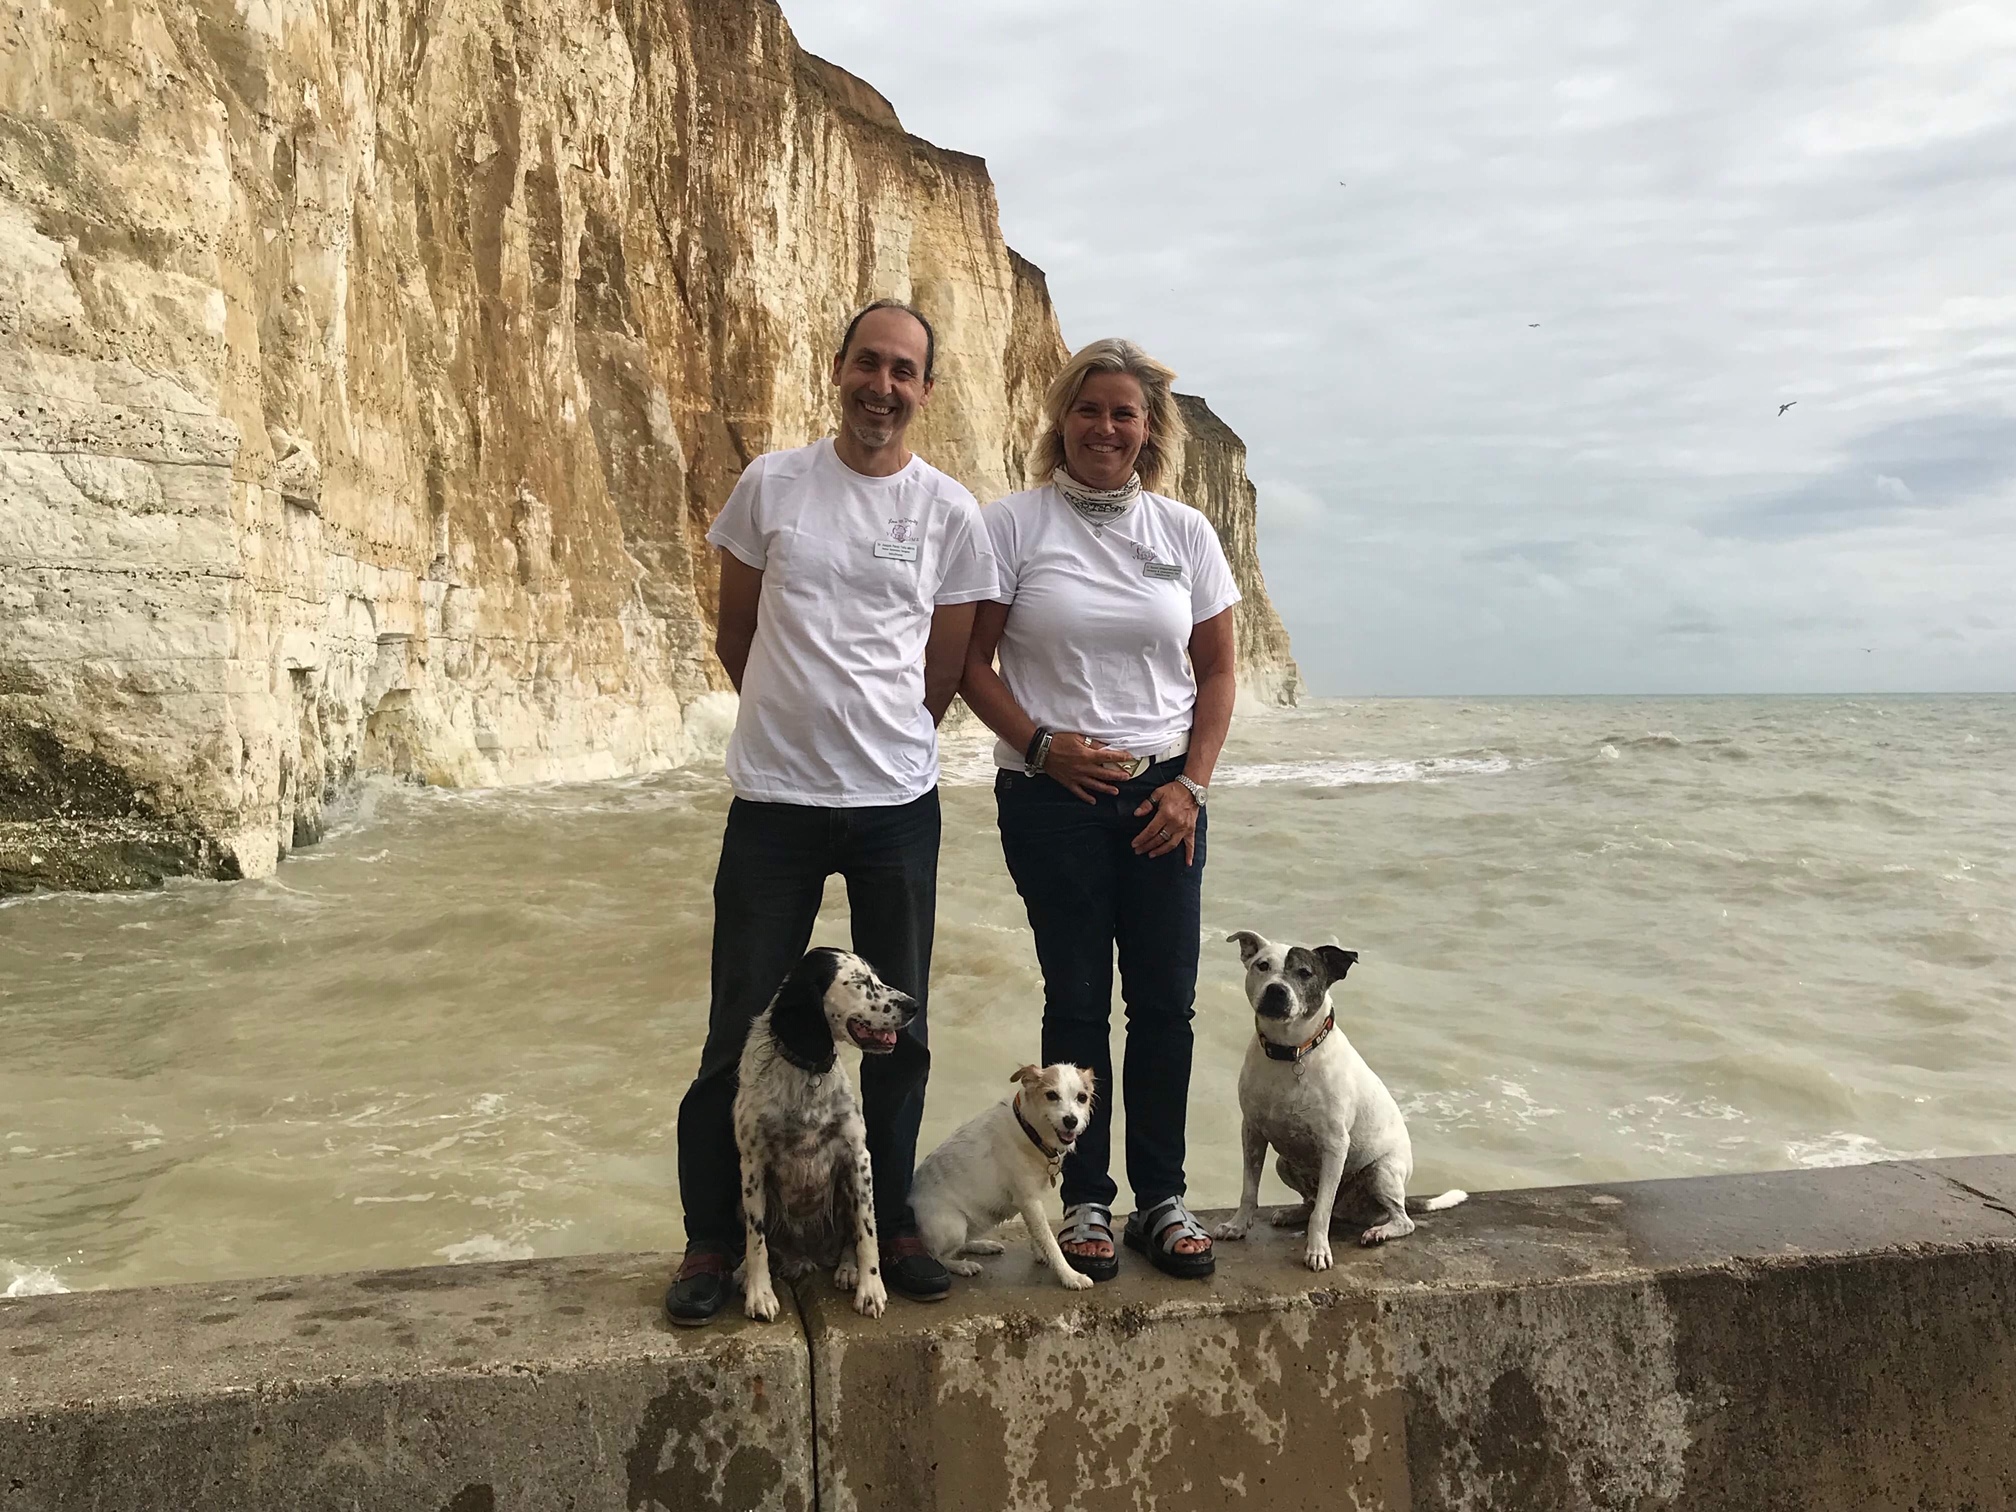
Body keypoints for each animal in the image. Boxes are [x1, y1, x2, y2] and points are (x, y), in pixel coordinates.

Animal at [732, 947, 918, 1321]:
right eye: (860, 983)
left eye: (877, 978)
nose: (913, 1005)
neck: (806, 1072)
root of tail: (807, 1256)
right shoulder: (752, 1164)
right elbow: (756, 1239)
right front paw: (760, 1294)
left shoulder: (858, 1156)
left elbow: (867, 1231)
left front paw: (871, 1289)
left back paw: (848, 1269)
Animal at [910, 1063, 1099, 1292]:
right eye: (1051, 1095)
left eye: (1082, 1097)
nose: (1071, 1121)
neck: (1029, 1130)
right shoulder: (1029, 1201)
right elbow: (1049, 1240)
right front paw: (1070, 1275)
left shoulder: (1034, 1197)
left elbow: (1038, 1233)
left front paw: (1040, 1253)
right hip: (954, 1225)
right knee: (936, 1257)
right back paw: (962, 1265)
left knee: (959, 1246)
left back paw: (982, 1245)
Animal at [1212, 931, 1467, 1271]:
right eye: (1262, 965)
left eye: (1305, 973)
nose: (1276, 990)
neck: (1291, 1052)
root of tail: (1351, 1210)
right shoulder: (1252, 1132)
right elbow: (1249, 1190)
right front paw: (1238, 1226)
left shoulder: (1335, 1145)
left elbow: (1321, 1213)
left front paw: (1318, 1251)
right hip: (1284, 1164)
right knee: (1313, 1201)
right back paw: (1294, 1212)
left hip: (1381, 1173)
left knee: (1398, 1218)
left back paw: (1379, 1231)